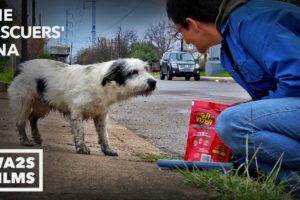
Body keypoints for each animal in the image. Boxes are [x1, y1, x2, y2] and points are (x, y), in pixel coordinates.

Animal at [7, 58, 157, 155]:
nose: (154, 82)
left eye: (146, 69)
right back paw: (25, 140)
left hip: (42, 105)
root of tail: (20, 67)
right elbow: (80, 132)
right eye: (133, 72)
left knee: (32, 118)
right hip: (24, 103)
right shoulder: (76, 112)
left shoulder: (101, 115)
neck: (101, 83)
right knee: (20, 122)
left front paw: (107, 149)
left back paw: (37, 138)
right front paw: (82, 147)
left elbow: (104, 134)